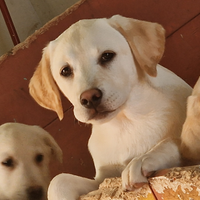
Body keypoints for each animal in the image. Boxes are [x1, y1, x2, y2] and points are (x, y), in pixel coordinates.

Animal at [28, 15, 191, 200]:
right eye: (65, 71)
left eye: (107, 56)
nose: (89, 98)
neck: (125, 124)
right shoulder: (102, 180)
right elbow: (59, 180)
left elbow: (171, 142)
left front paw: (143, 159)